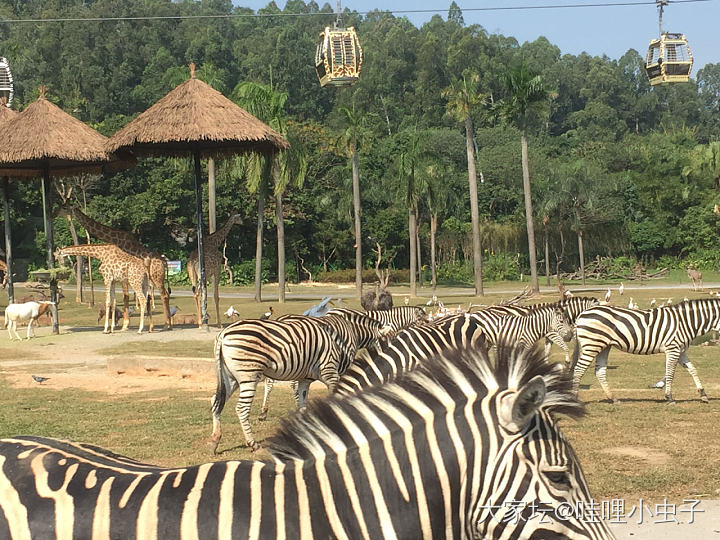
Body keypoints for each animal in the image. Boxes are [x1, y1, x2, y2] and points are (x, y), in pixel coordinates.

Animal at [57, 202, 172, 330]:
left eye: (64, 208)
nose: (54, 214)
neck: (115, 239)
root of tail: (164, 261)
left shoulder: (122, 277)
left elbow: (125, 296)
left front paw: (124, 325)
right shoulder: (120, 278)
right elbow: (123, 297)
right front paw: (123, 325)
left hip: (156, 278)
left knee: (163, 295)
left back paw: (166, 325)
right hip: (151, 279)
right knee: (156, 296)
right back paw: (159, 325)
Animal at [211, 308, 390, 452]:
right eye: (385, 343)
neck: (350, 333)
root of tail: (224, 333)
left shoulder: (306, 378)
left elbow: (303, 402)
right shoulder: (330, 372)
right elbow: (335, 397)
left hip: (230, 377)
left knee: (215, 400)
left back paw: (215, 440)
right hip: (248, 374)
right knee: (242, 408)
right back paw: (253, 443)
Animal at [572, 298, 716, 402]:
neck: (685, 322)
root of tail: (582, 314)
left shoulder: (680, 350)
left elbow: (692, 369)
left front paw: (703, 394)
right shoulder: (673, 348)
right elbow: (670, 373)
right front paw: (669, 397)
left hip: (603, 346)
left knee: (599, 371)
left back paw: (613, 398)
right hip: (592, 345)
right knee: (579, 370)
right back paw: (574, 398)